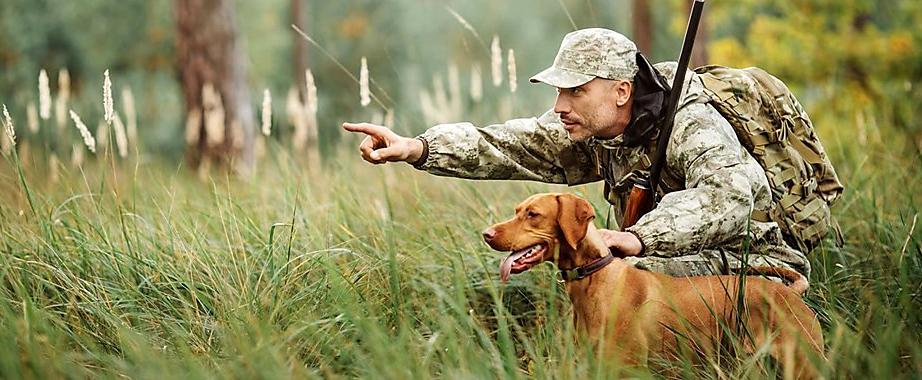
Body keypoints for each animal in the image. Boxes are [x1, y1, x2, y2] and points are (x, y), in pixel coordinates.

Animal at [482, 194, 828, 378]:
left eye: (533, 214)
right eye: (517, 211)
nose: (487, 234)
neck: (595, 279)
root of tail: (790, 292)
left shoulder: (627, 370)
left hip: (804, 364)